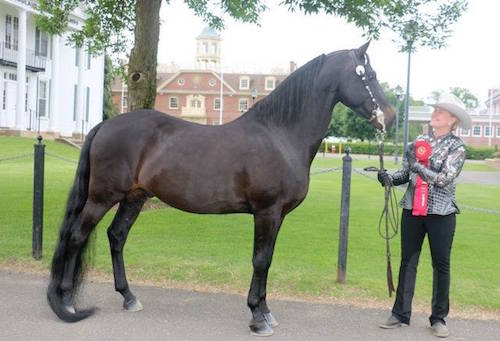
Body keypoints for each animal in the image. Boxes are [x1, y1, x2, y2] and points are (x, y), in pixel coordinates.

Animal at [47, 41, 394, 334]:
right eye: (369, 76)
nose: (388, 117)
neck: (279, 135)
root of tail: (104, 125)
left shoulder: (278, 215)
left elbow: (268, 259)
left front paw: (266, 312)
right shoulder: (266, 212)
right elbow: (260, 260)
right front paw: (257, 317)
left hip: (134, 197)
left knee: (116, 237)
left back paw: (129, 297)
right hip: (101, 197)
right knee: (76, 236)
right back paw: (67, 303)